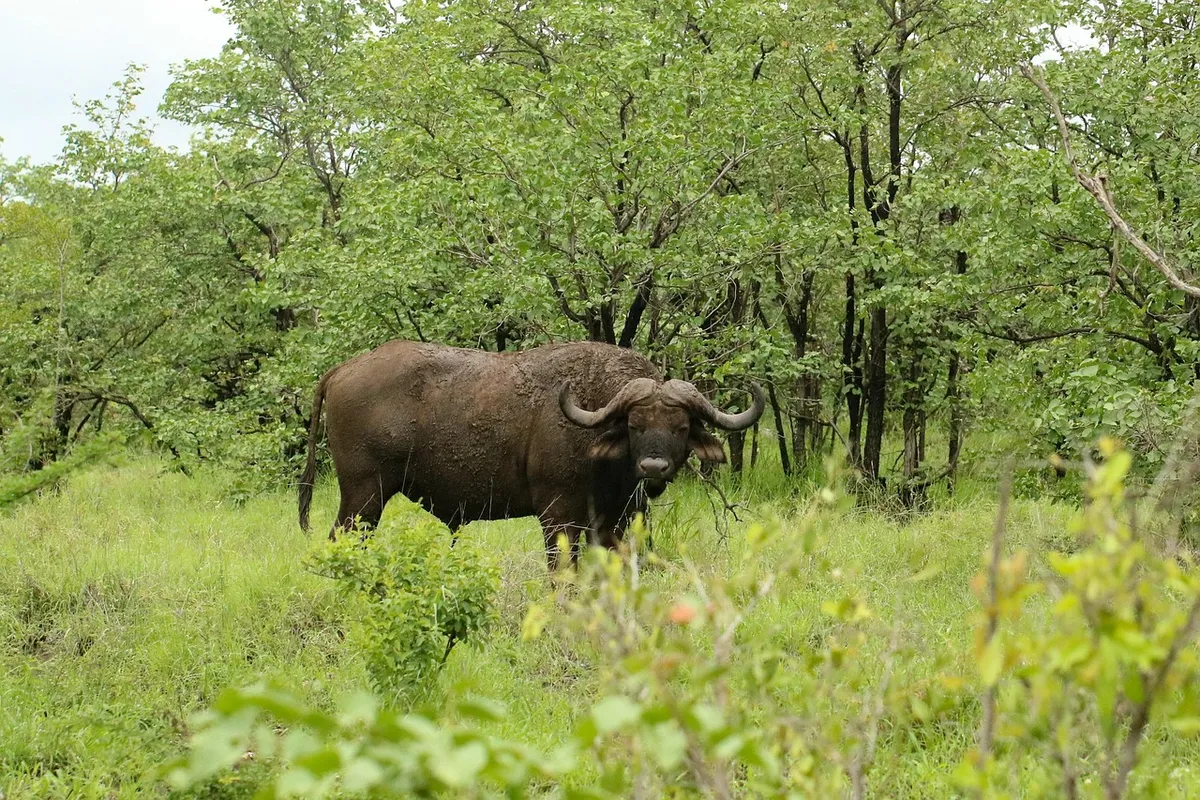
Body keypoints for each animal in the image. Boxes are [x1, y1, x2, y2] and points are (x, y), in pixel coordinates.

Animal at [298, 340, 764, 569]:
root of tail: (341, 371)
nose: (653, 466)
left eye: (681, 427)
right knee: (342, 539)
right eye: (634, 425)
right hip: (364, 496)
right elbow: (562, 570)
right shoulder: (559, 516)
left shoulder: (615, 518)